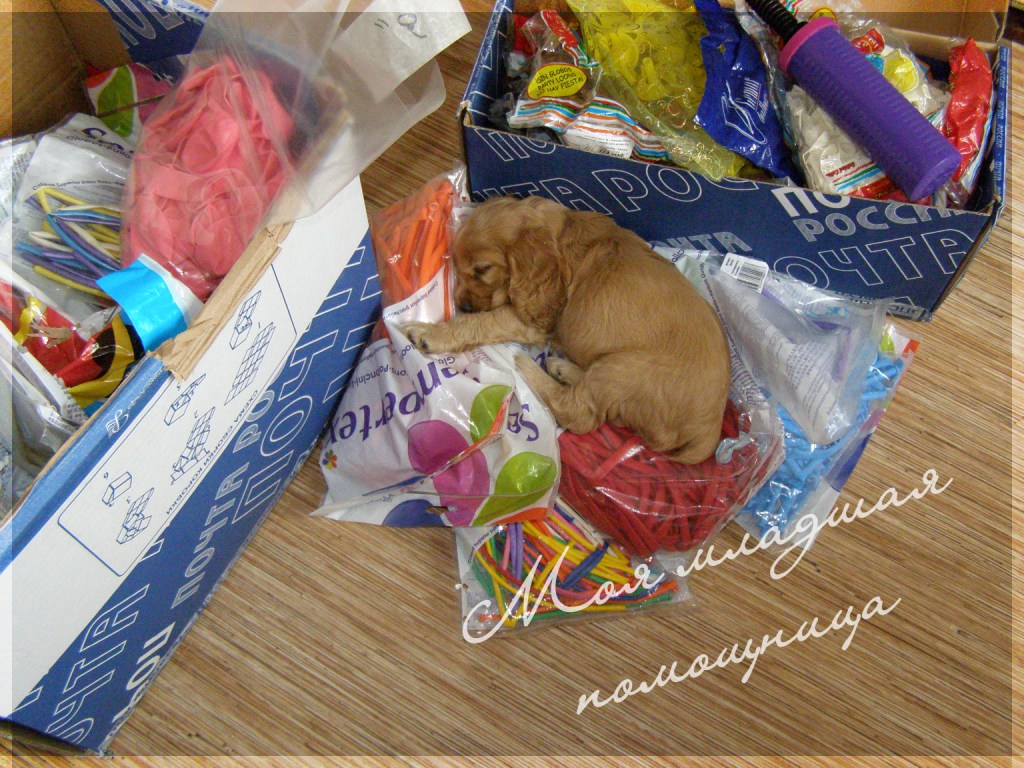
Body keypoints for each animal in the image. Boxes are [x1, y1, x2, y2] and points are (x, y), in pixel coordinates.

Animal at [402, 195, 730, 464]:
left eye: (483, 269)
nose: (463, 305)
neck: (559, 236)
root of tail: (710, 431)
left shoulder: (531, 320)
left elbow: (483, 322)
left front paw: (429, 333)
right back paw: (563, 369)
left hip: (624, 368)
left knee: (578, 412)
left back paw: (527, 365)